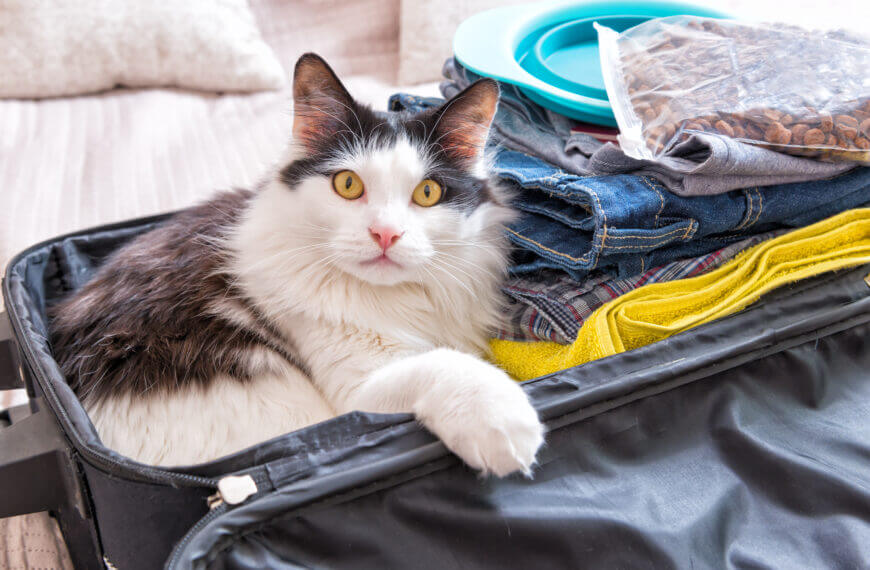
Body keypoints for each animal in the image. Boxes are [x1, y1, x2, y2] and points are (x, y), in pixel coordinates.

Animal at [49, 53, 544, 472]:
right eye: (348, 184)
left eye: (427, 193)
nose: (385, 234)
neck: (394, 299)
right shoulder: (357, 393)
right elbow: (446, 365)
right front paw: (504, 421)